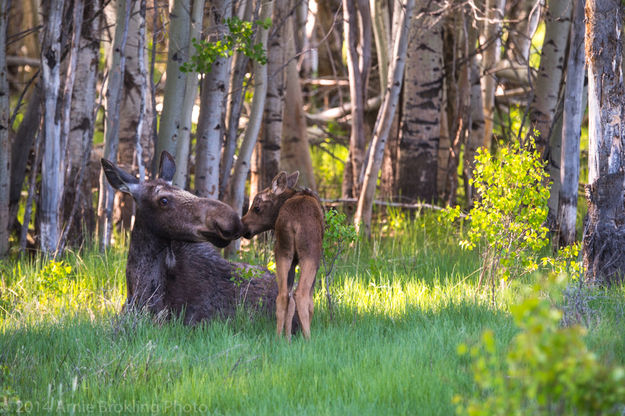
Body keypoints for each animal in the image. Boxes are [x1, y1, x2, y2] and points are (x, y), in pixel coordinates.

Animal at [240, 171, 324, 340]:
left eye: (256, 208)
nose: (243, 225)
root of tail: (293, 222)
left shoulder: (292, 262)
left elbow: (289, 302)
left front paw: (287, 337)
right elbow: (310, 302)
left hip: (282, 252)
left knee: (283, 295)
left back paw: (278, 338)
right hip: (310, 254)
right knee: (301, 294)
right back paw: (308, 339)